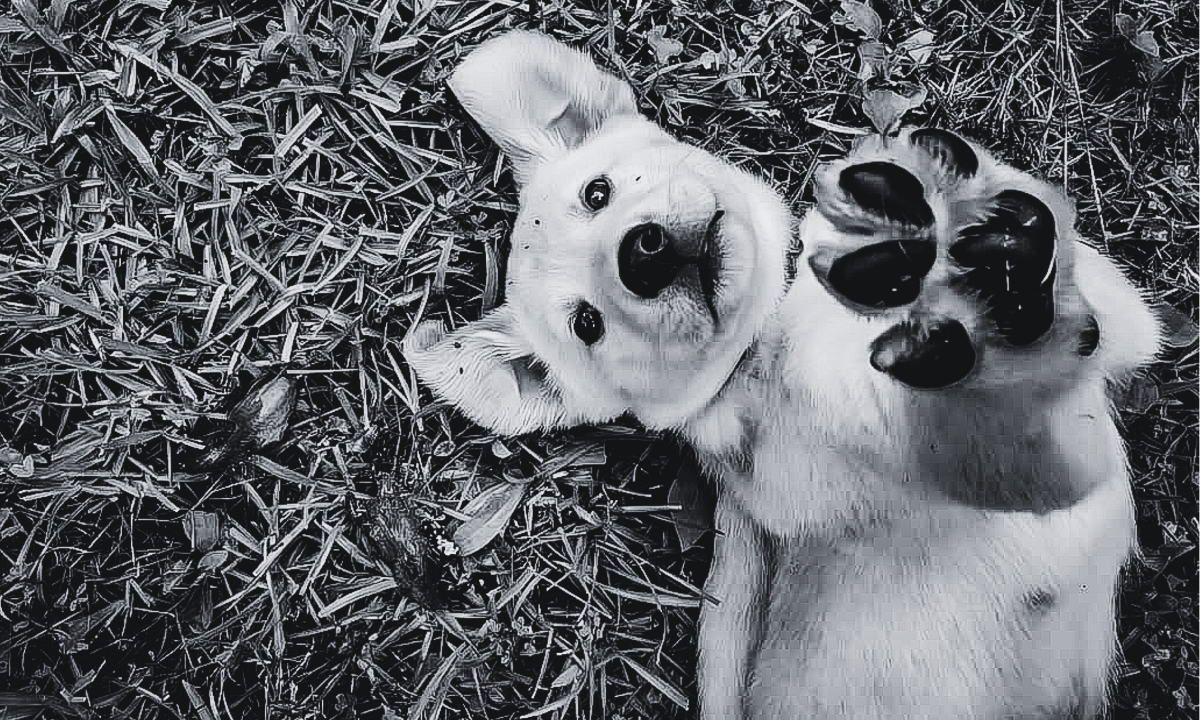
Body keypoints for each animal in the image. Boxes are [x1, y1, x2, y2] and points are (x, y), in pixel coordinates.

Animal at [403, 30, 1161, 720]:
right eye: (587, 325)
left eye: (597, 192)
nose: (643, 253)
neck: (779, 318)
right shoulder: (1029, 462)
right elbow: (952, 413)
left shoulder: (1121, 329)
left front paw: (931, 195)